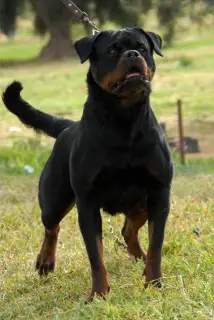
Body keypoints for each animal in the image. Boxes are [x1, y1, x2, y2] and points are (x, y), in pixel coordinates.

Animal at [2, 28, 173, 302]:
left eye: (142, 48)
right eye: (112, 51)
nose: (132, 54)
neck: (123, 119)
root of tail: (67, 126)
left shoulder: (160, 193)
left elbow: (156, 245)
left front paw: (154, 283)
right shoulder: (87, 203)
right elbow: (96, 255)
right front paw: (99, 294)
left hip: (142, 203)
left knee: (128, 231)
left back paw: (140, 259)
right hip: (55, 199)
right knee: (51, 227)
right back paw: (45, 261)